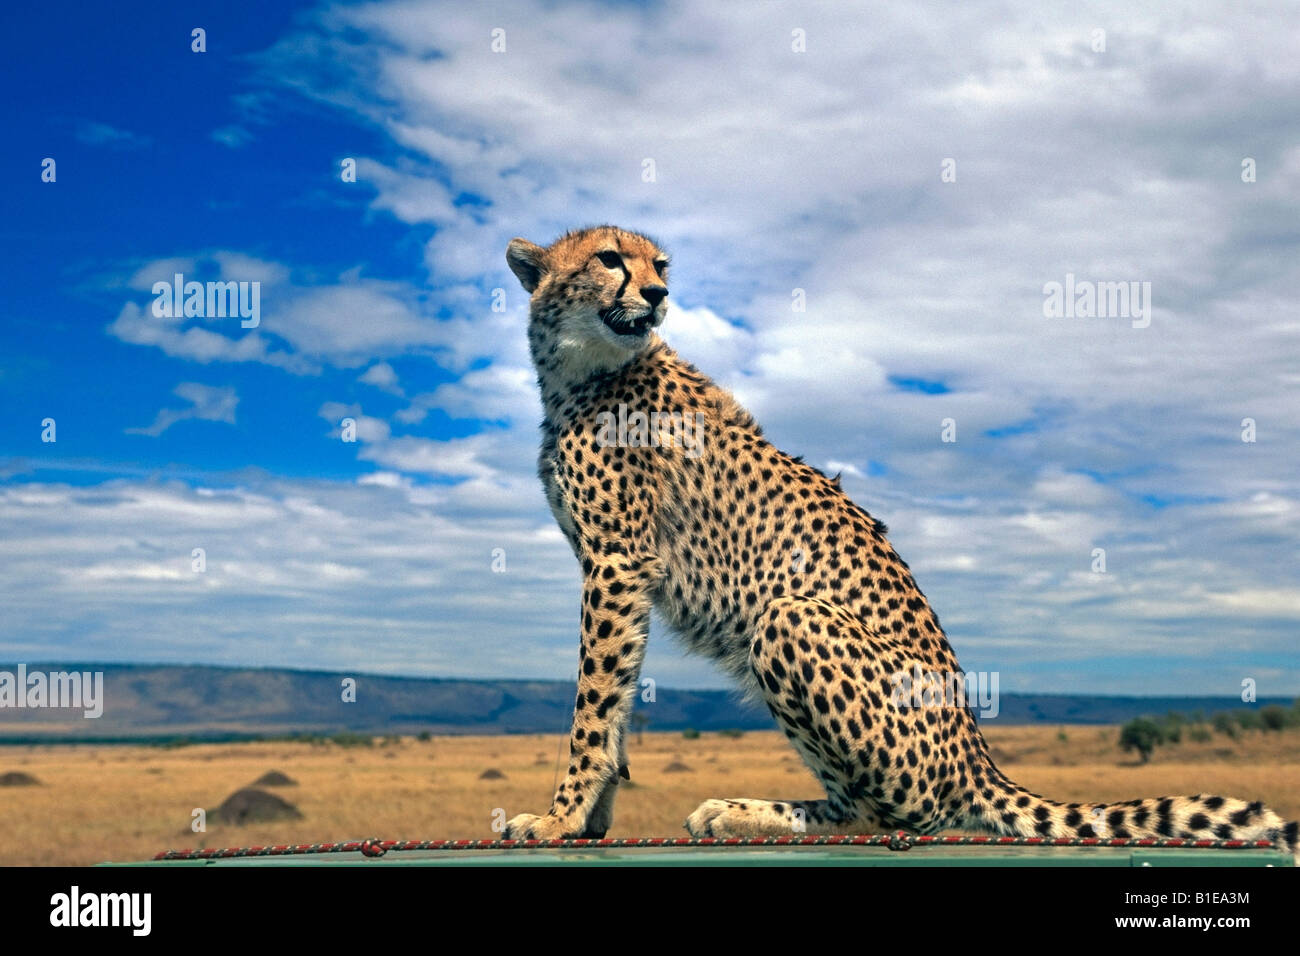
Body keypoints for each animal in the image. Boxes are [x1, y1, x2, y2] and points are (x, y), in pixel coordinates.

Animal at [499, 226, 1300, 858]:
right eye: (610, 258)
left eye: (661, 264)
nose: (659, 293)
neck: (580, 368)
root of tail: (977, 753)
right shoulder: (616, 567)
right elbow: (615, 702)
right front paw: (588, 819)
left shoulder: (617, 560)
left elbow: (594, 703)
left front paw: (559, 817)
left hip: (788, 618)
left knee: (902, 811)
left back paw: (749, 811)